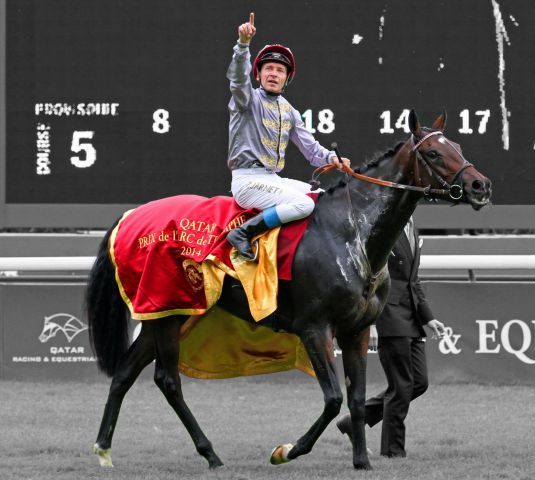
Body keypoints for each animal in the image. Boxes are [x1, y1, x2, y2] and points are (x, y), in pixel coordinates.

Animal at [88, 108, 494, 468]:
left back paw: (105, 450)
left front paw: (362, 461)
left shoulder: (357, 330)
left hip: (167, 313)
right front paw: (286, 450)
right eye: (433, 153)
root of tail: (130, 215)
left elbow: (357, 398)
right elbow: (333, 398)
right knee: (167, 380)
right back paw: (210, 454)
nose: (481, 185)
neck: (352, 232)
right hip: (168, 311)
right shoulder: (314, 327)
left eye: (458, 145)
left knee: (125, 373)